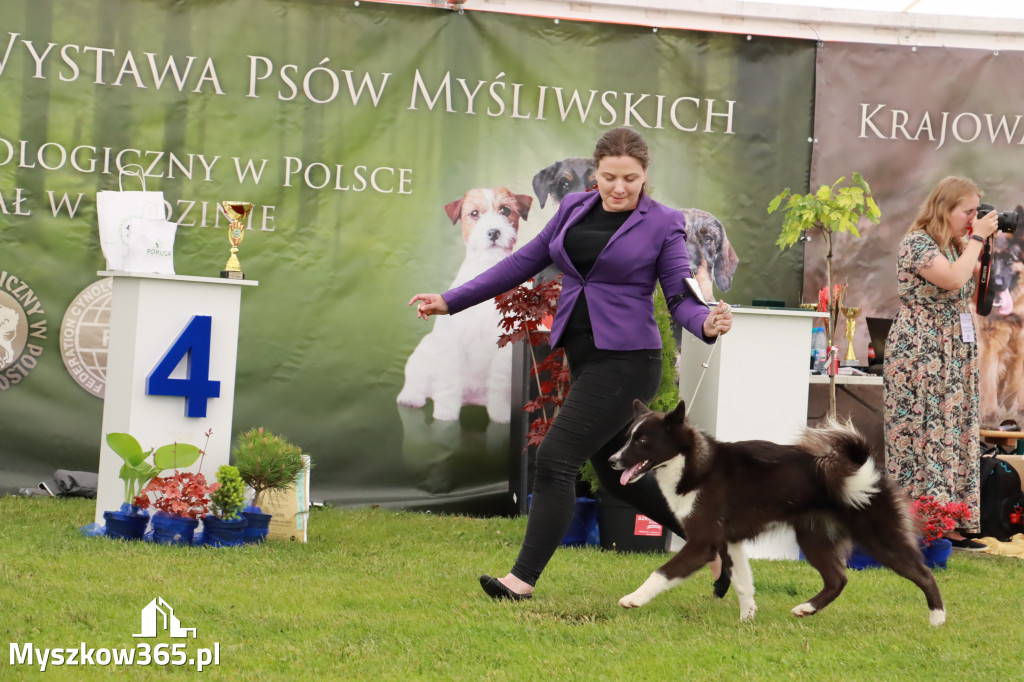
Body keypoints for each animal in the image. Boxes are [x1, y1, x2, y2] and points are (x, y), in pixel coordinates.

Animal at [606, 399, 942, 626]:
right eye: (628, 438)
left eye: (642, 440)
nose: (611, 461)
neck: (694, 464)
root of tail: (867, 469)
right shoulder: (729, 542)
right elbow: (743, 582)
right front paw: (747, 618)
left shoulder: (703, 543)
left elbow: (661, 572)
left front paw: (633, 599)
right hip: (813, 537)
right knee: (837, 579)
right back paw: (806, 609)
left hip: (880, 538)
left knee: (924, 573)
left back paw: (937, 619)